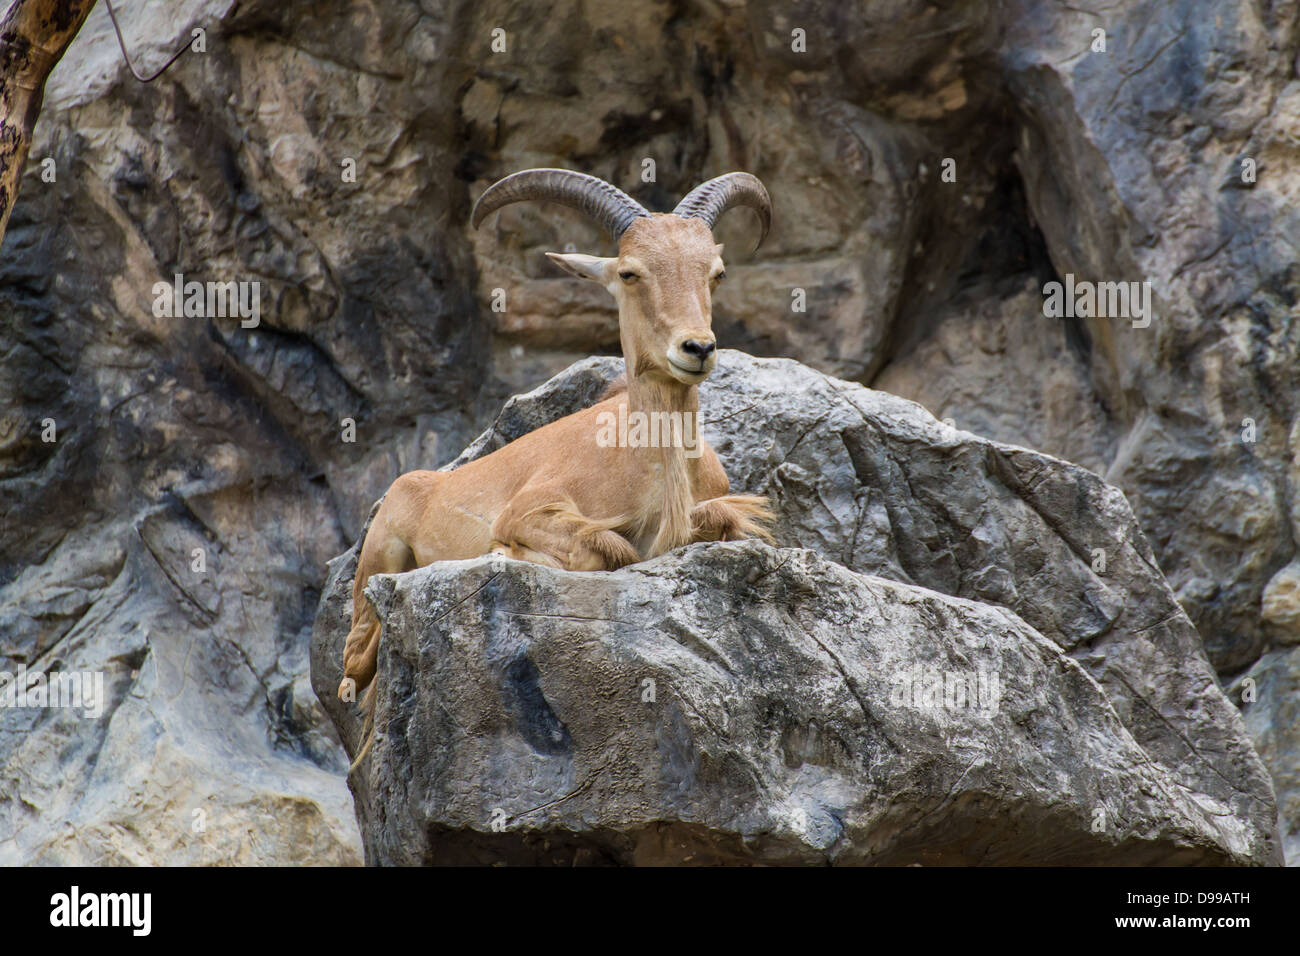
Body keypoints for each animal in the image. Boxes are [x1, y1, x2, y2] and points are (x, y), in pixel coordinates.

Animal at [340, 167, 774, 764]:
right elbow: (604, 547)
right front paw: (508, 553)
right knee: (354, 663)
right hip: (379, 558)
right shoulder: (531, 508)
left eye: (716, 272)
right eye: (630, 273)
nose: (697, 348)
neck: (651, 464)